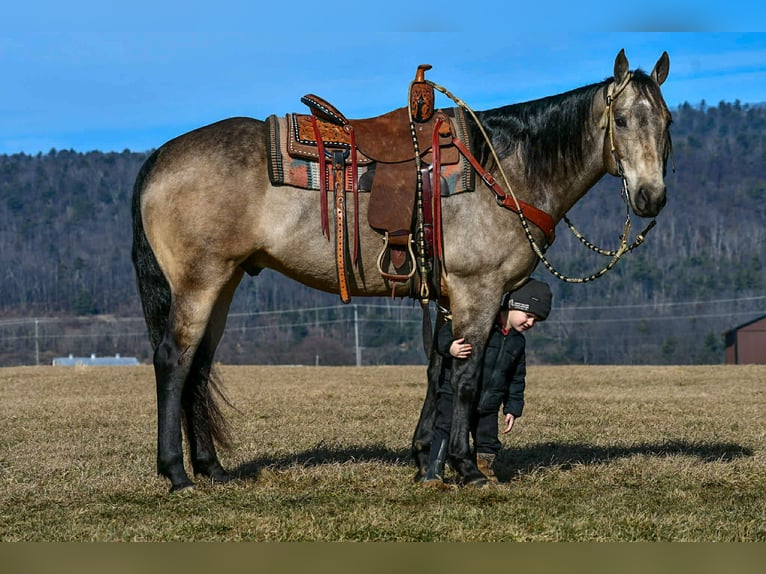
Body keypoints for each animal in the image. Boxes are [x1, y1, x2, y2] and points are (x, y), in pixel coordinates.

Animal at [131, 49, 672, 492]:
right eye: (622, 119)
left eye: (666, 122)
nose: (652, 197)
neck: (504, 169)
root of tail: (161, 156)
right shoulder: (478, 291)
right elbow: (468, 376)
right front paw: (466, 467)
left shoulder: (449, 298)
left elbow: (439, 369)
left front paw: (426, 458)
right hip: (199, 282)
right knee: (174, 360)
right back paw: (177, 474)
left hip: (225, 282)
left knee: (199, 367)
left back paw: (213, 469)